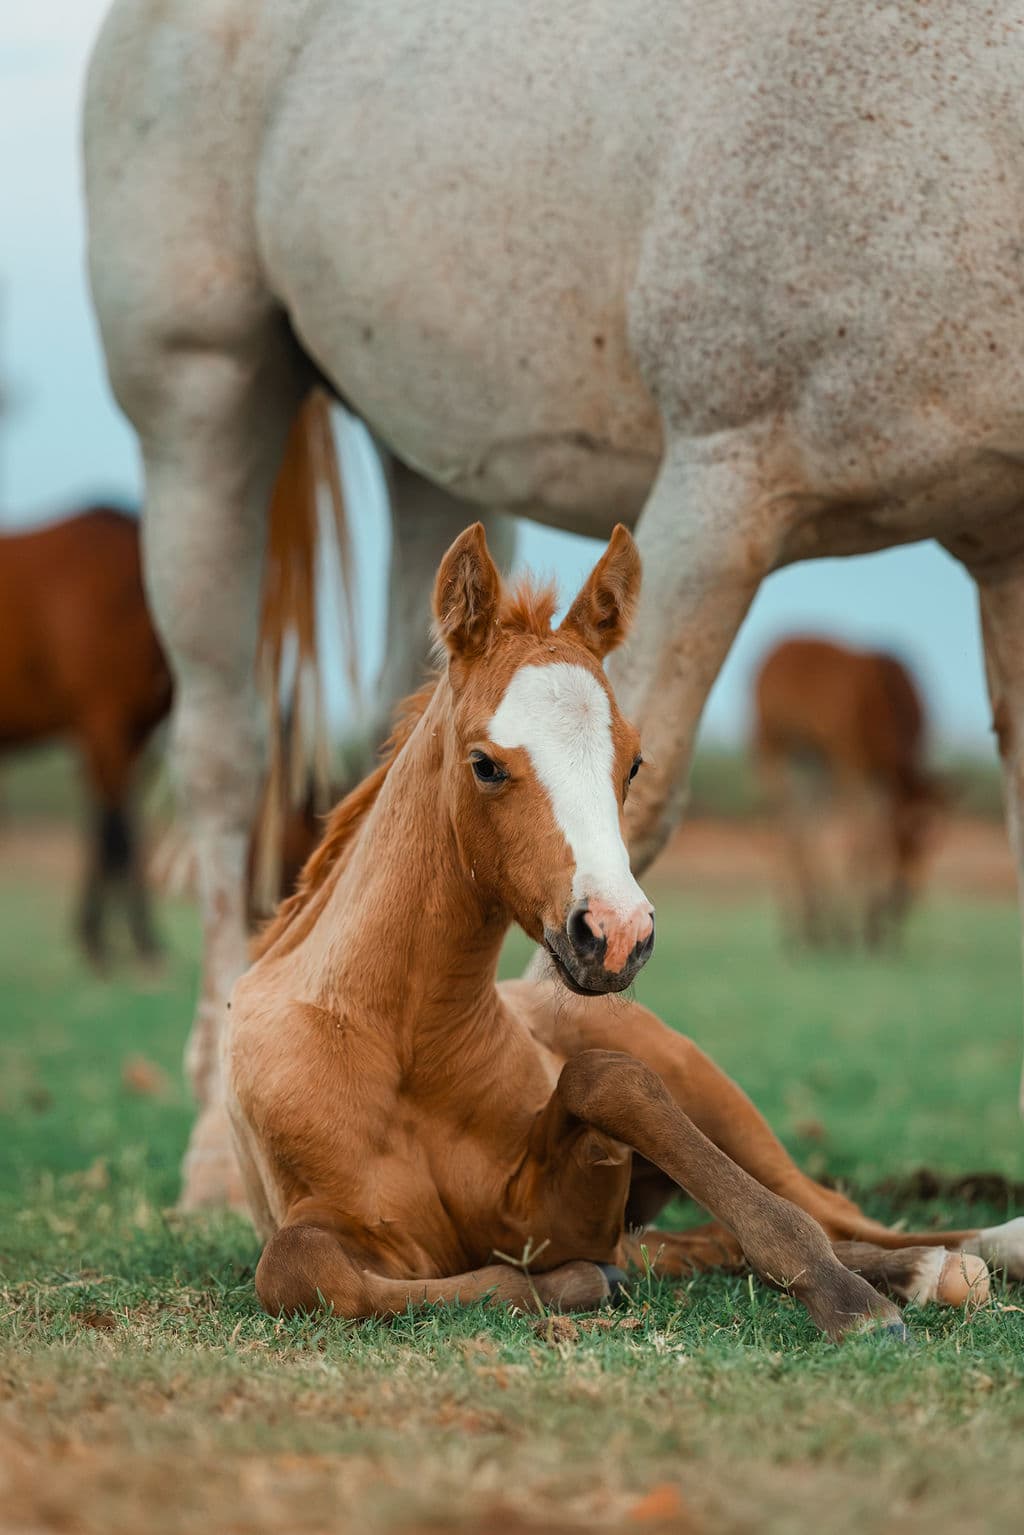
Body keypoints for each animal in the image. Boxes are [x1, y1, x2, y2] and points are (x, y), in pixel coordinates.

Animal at [753, 637, 945, 949]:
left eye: (937, 843)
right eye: (906, 833)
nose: (904, 895)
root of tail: (779, 648)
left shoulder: (875, 775)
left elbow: (873, 837)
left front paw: (879, 928)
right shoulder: (851, 762)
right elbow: (862, 837)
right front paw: (865, 928)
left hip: (812, 763)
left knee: (804, 826)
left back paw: (815, 926)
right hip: (772, 746)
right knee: (784, 824)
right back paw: (807, 928)